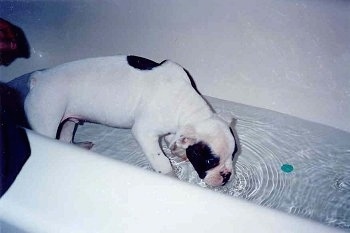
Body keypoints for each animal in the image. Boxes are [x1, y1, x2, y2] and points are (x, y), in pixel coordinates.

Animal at [23, 55, 238, 187]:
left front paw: (178, 151)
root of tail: (39, 78)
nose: (227, 175)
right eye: (210, 161)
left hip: (68, 121)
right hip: (46, 119)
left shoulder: (175, 128)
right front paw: (170, 177)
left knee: (66, 136)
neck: (185, 104)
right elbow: (162, 161)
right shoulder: (144, 133)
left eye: (234, 155)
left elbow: (173, 140)